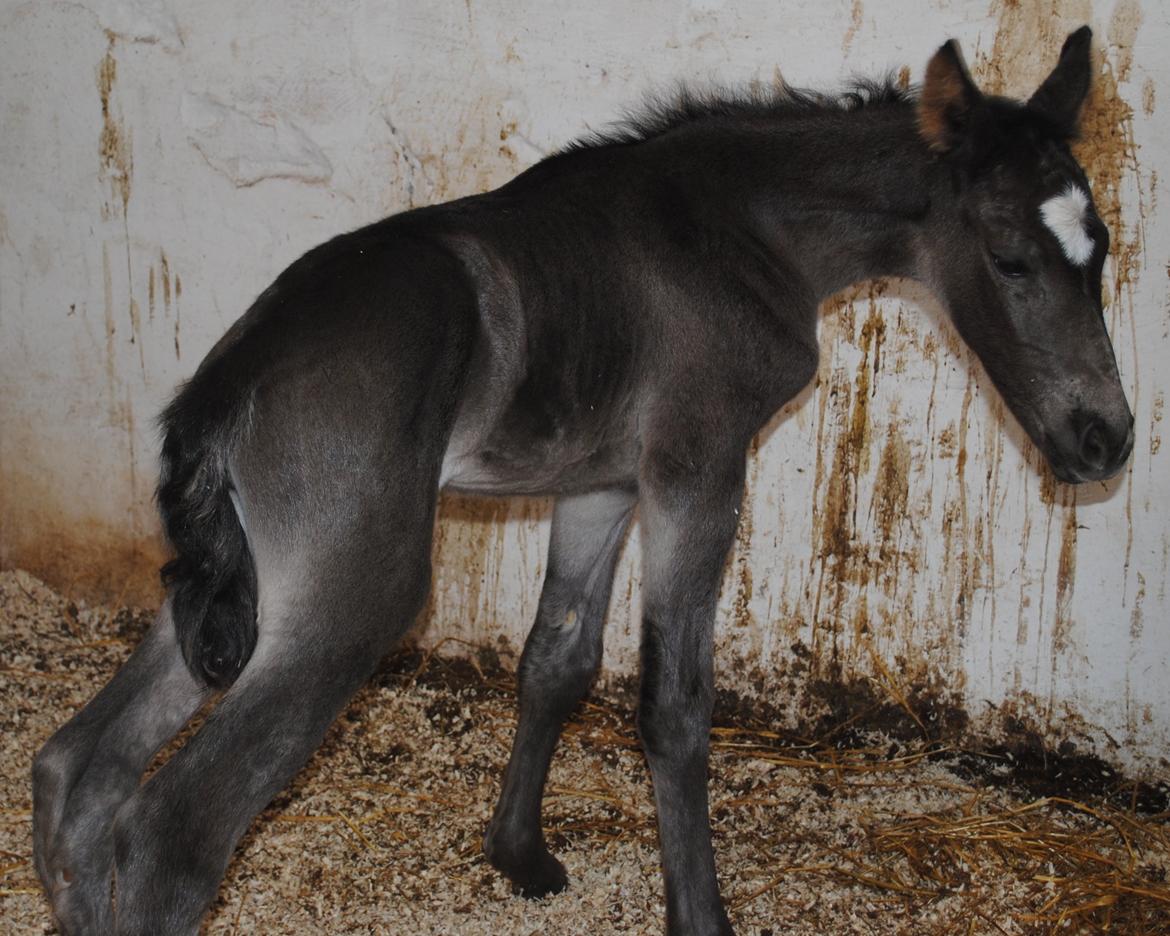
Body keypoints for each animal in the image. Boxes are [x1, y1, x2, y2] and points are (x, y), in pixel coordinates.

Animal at [34, 27, 1132, 935]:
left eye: (1104, 250)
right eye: (1011, 258)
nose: (1106, 438)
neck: (743, 229)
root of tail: (227, 382)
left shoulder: (600, 483)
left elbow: (555, 659)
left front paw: (520, 856)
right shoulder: (697, 466)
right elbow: (673, 705)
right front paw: (700, 918)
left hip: (242, 588)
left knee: (76, 767)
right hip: (346, 594)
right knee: (174, 831)